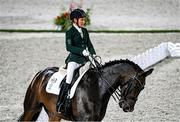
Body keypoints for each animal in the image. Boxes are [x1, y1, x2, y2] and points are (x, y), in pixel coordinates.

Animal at [18, 59, 153, 121]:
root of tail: (41, 73)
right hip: (31, 108)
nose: (128, 108)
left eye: (142, 88)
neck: (98, 88)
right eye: (134, 85)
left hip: (54, 114)